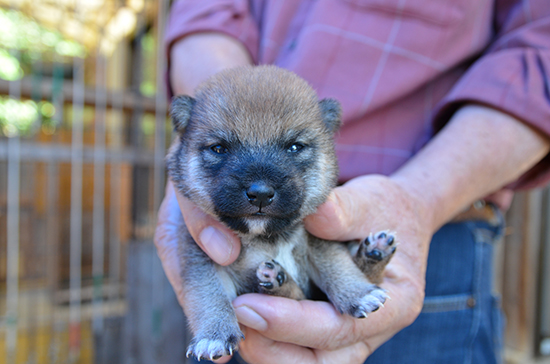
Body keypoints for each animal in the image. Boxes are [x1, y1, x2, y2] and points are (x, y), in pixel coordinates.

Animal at [166, 66, 398, 362]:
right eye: (219, 148)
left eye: (295, 147)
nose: (260, 194)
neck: (266, 238)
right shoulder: (200, 255)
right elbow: (208, 292)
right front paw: (213, 333)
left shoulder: (318, 239)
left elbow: (335, 262)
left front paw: (357, 292)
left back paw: (373, 253)